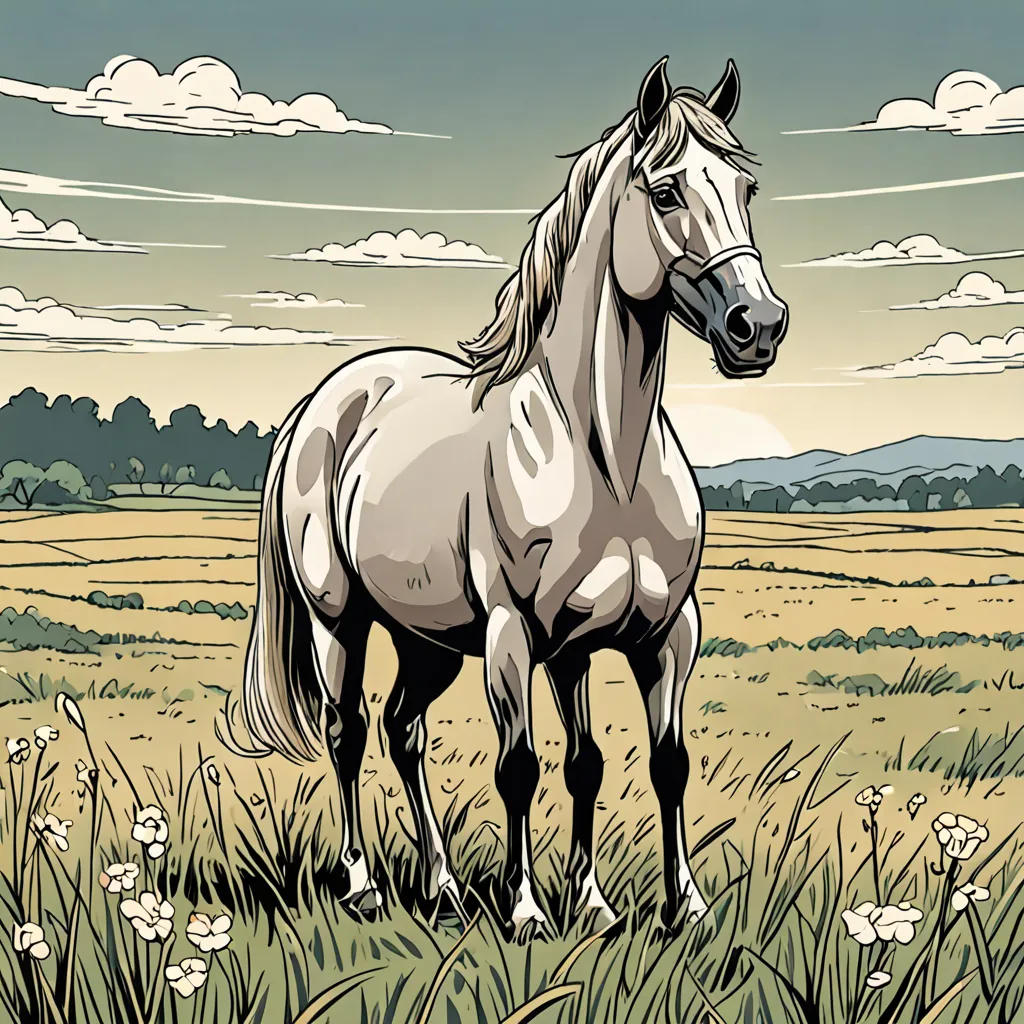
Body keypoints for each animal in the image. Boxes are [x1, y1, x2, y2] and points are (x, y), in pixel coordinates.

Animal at [228, 55, 788, 937]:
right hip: (340, 621)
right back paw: (365, 886)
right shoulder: (513, 635)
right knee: (349, 732)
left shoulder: (650, 637)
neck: (606, 459)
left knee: (404, 731)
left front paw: (646, 905)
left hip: (425, 639)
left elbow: (634, 763)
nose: (757, 327)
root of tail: (329, 400)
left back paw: (445, 886)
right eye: (666, 192)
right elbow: (520, 767)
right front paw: (528, 910)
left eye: (746, 187)